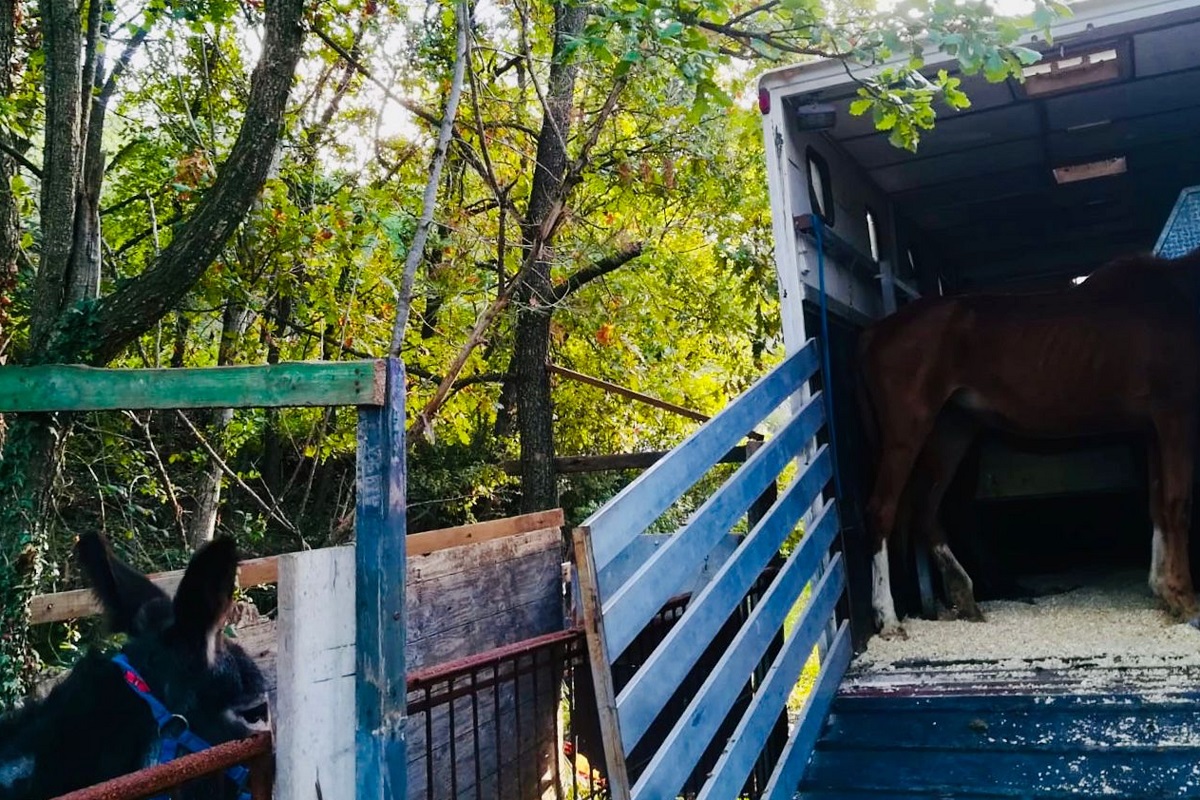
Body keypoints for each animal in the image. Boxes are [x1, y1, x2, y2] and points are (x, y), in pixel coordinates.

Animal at [859, 247, 1200, 633]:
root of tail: (877, 330)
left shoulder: (1154, 428)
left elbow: (1158, 504)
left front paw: (1163, 591)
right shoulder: (1175, 416)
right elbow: (1177, 503)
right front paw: (1186, 600)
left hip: (952, 431)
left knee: (926, 510)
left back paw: (965, 598)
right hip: (907, 433)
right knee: (882, 511)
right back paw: (889, 619)